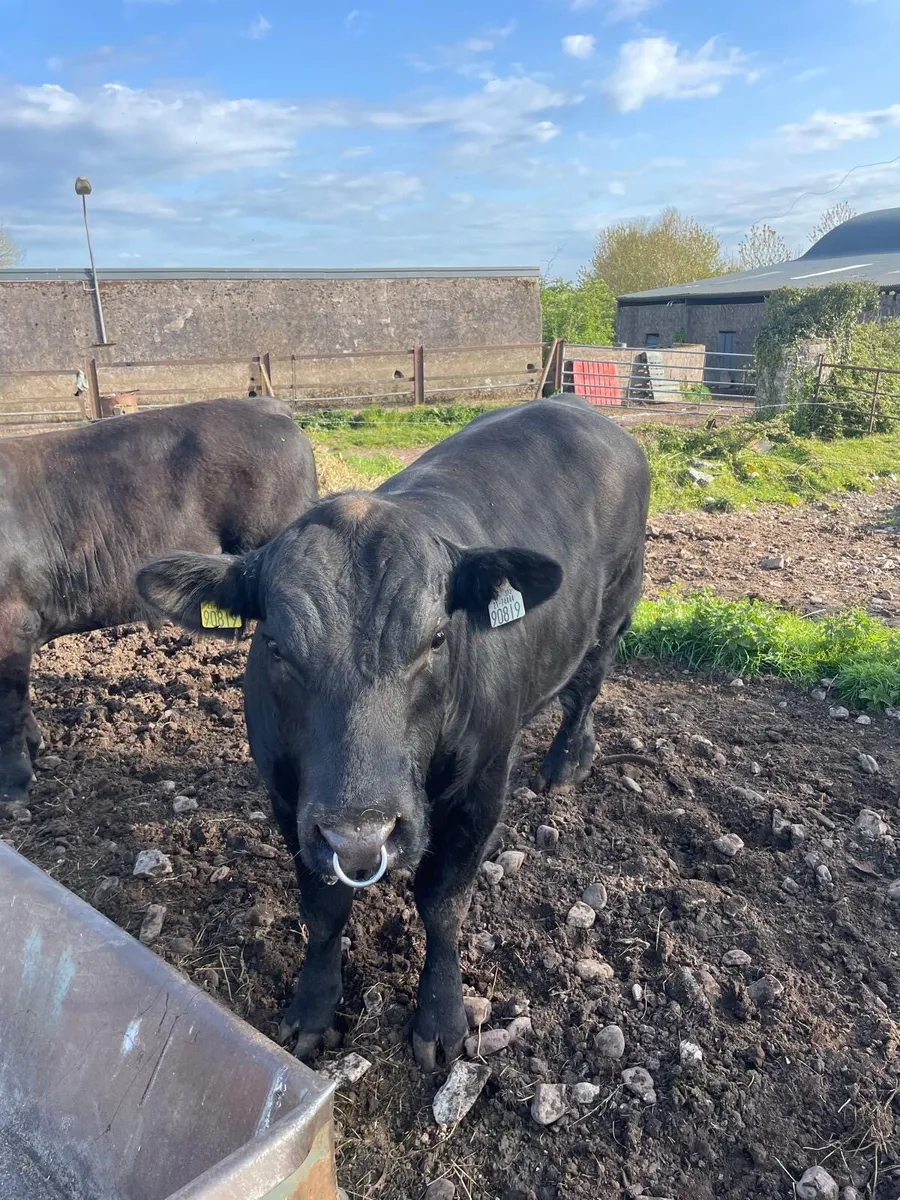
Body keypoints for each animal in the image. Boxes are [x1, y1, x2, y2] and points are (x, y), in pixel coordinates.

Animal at [136, 395, 650, 1070]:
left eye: (436, 638)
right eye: (276, 646)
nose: (362, 834)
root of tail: (578, 407)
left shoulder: (482, 783)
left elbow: (443, 904)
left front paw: (442, 1018)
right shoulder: (289, 798)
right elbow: (323, 908)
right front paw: (313, 1009)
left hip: (616, 606)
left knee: (586, 686)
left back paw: (567, 763)